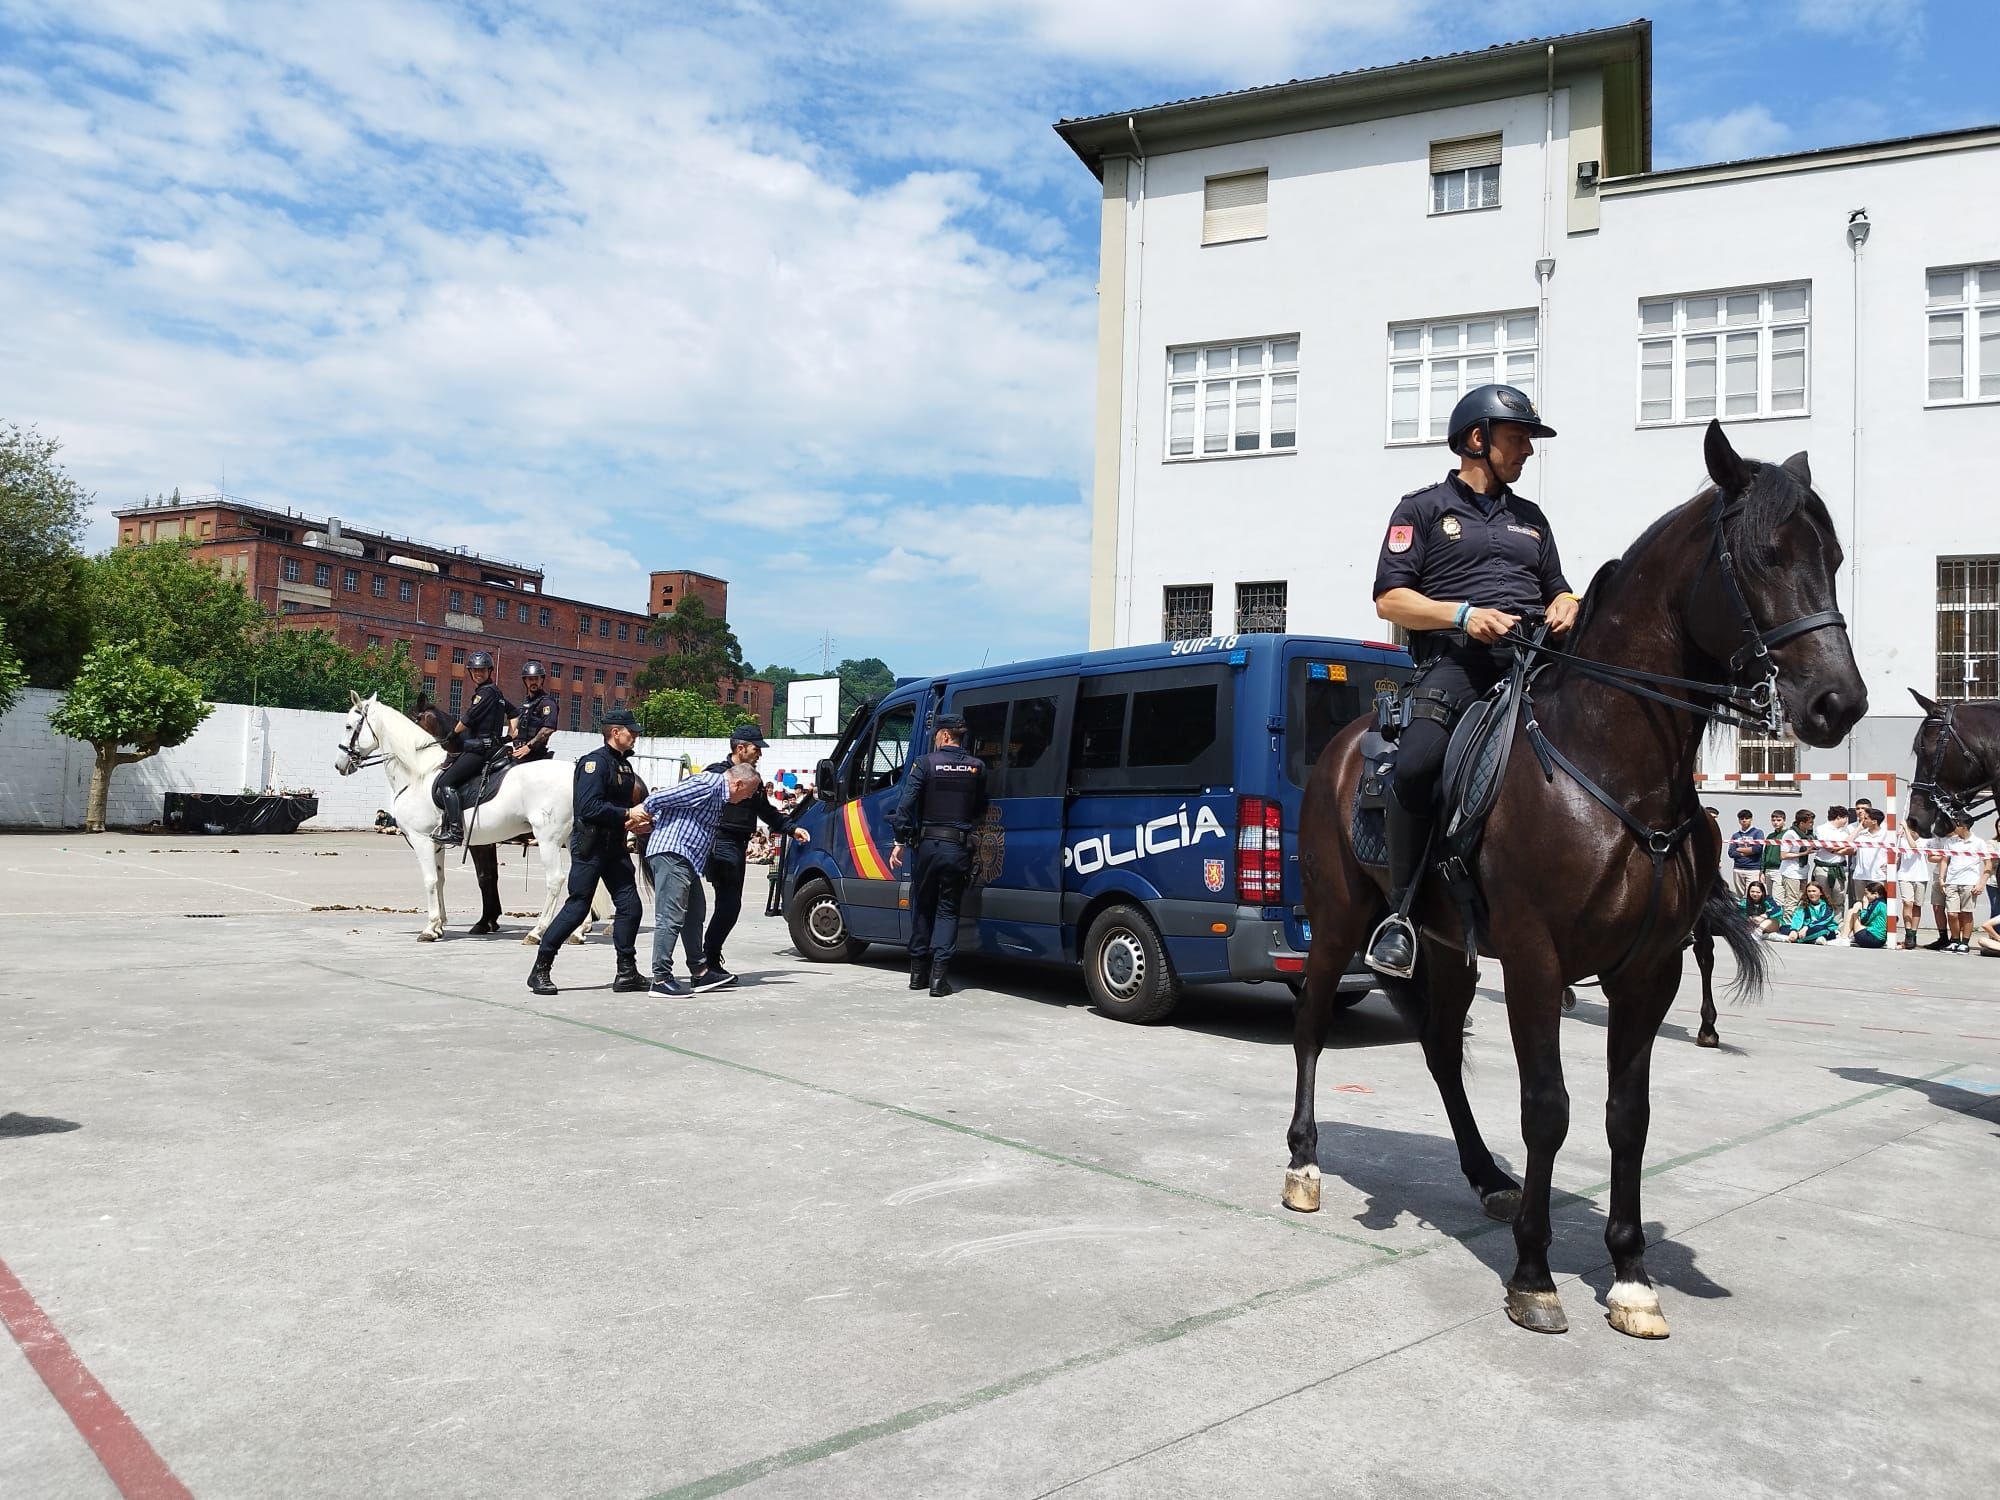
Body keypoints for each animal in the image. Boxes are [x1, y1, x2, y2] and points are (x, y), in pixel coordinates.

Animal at [336, 692, 580, 940]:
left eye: (349, 726)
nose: (340, 764)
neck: (419, 774)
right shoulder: (438, 842)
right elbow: (442, 879)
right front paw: (440, 925)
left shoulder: (423, 839)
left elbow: (434, 880)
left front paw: (431, 928)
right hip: (571, 839)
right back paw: (576, 931)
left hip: (548, 839)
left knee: (556, 880)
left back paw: (538, 931)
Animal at [1288, 424, 1864, 1336]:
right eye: (1766, 556)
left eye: (1834, 557)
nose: (1839, 704)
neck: (1612, 763)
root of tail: (1346, 744)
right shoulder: (1535, 960)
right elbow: (1548, 1107)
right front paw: (1534, 1272)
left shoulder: (1650, 971)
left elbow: (1628, 1117)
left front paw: (1630, 1274)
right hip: (1339, 919)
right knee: (1310, 1025)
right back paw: (1305, 1163)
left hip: (1445, 946)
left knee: (1441, 1049)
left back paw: (1486, 1175)